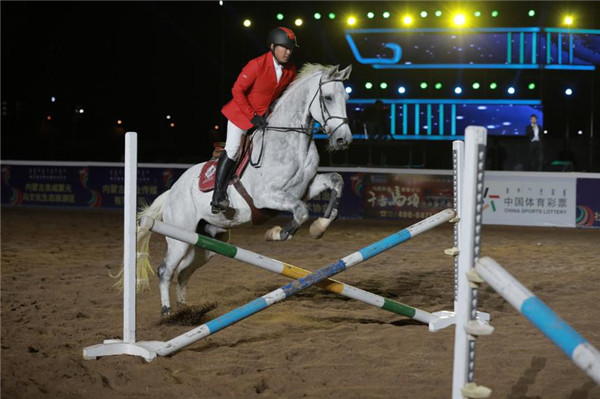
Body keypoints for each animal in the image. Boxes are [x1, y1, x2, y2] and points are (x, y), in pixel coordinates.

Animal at [138, 63, 354, 316]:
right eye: (328, 97)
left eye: (346, 98)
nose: (343, 139)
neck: (293, 143)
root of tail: (171, 192)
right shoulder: (266, 196)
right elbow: (301, 211)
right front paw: (277, 233)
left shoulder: (304, 188)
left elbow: (336, 181)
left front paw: (319, 227)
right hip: (180, 237)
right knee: (165, 270)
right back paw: (167, 312)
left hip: (207, 242)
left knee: (183, 272)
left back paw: (187, 310)